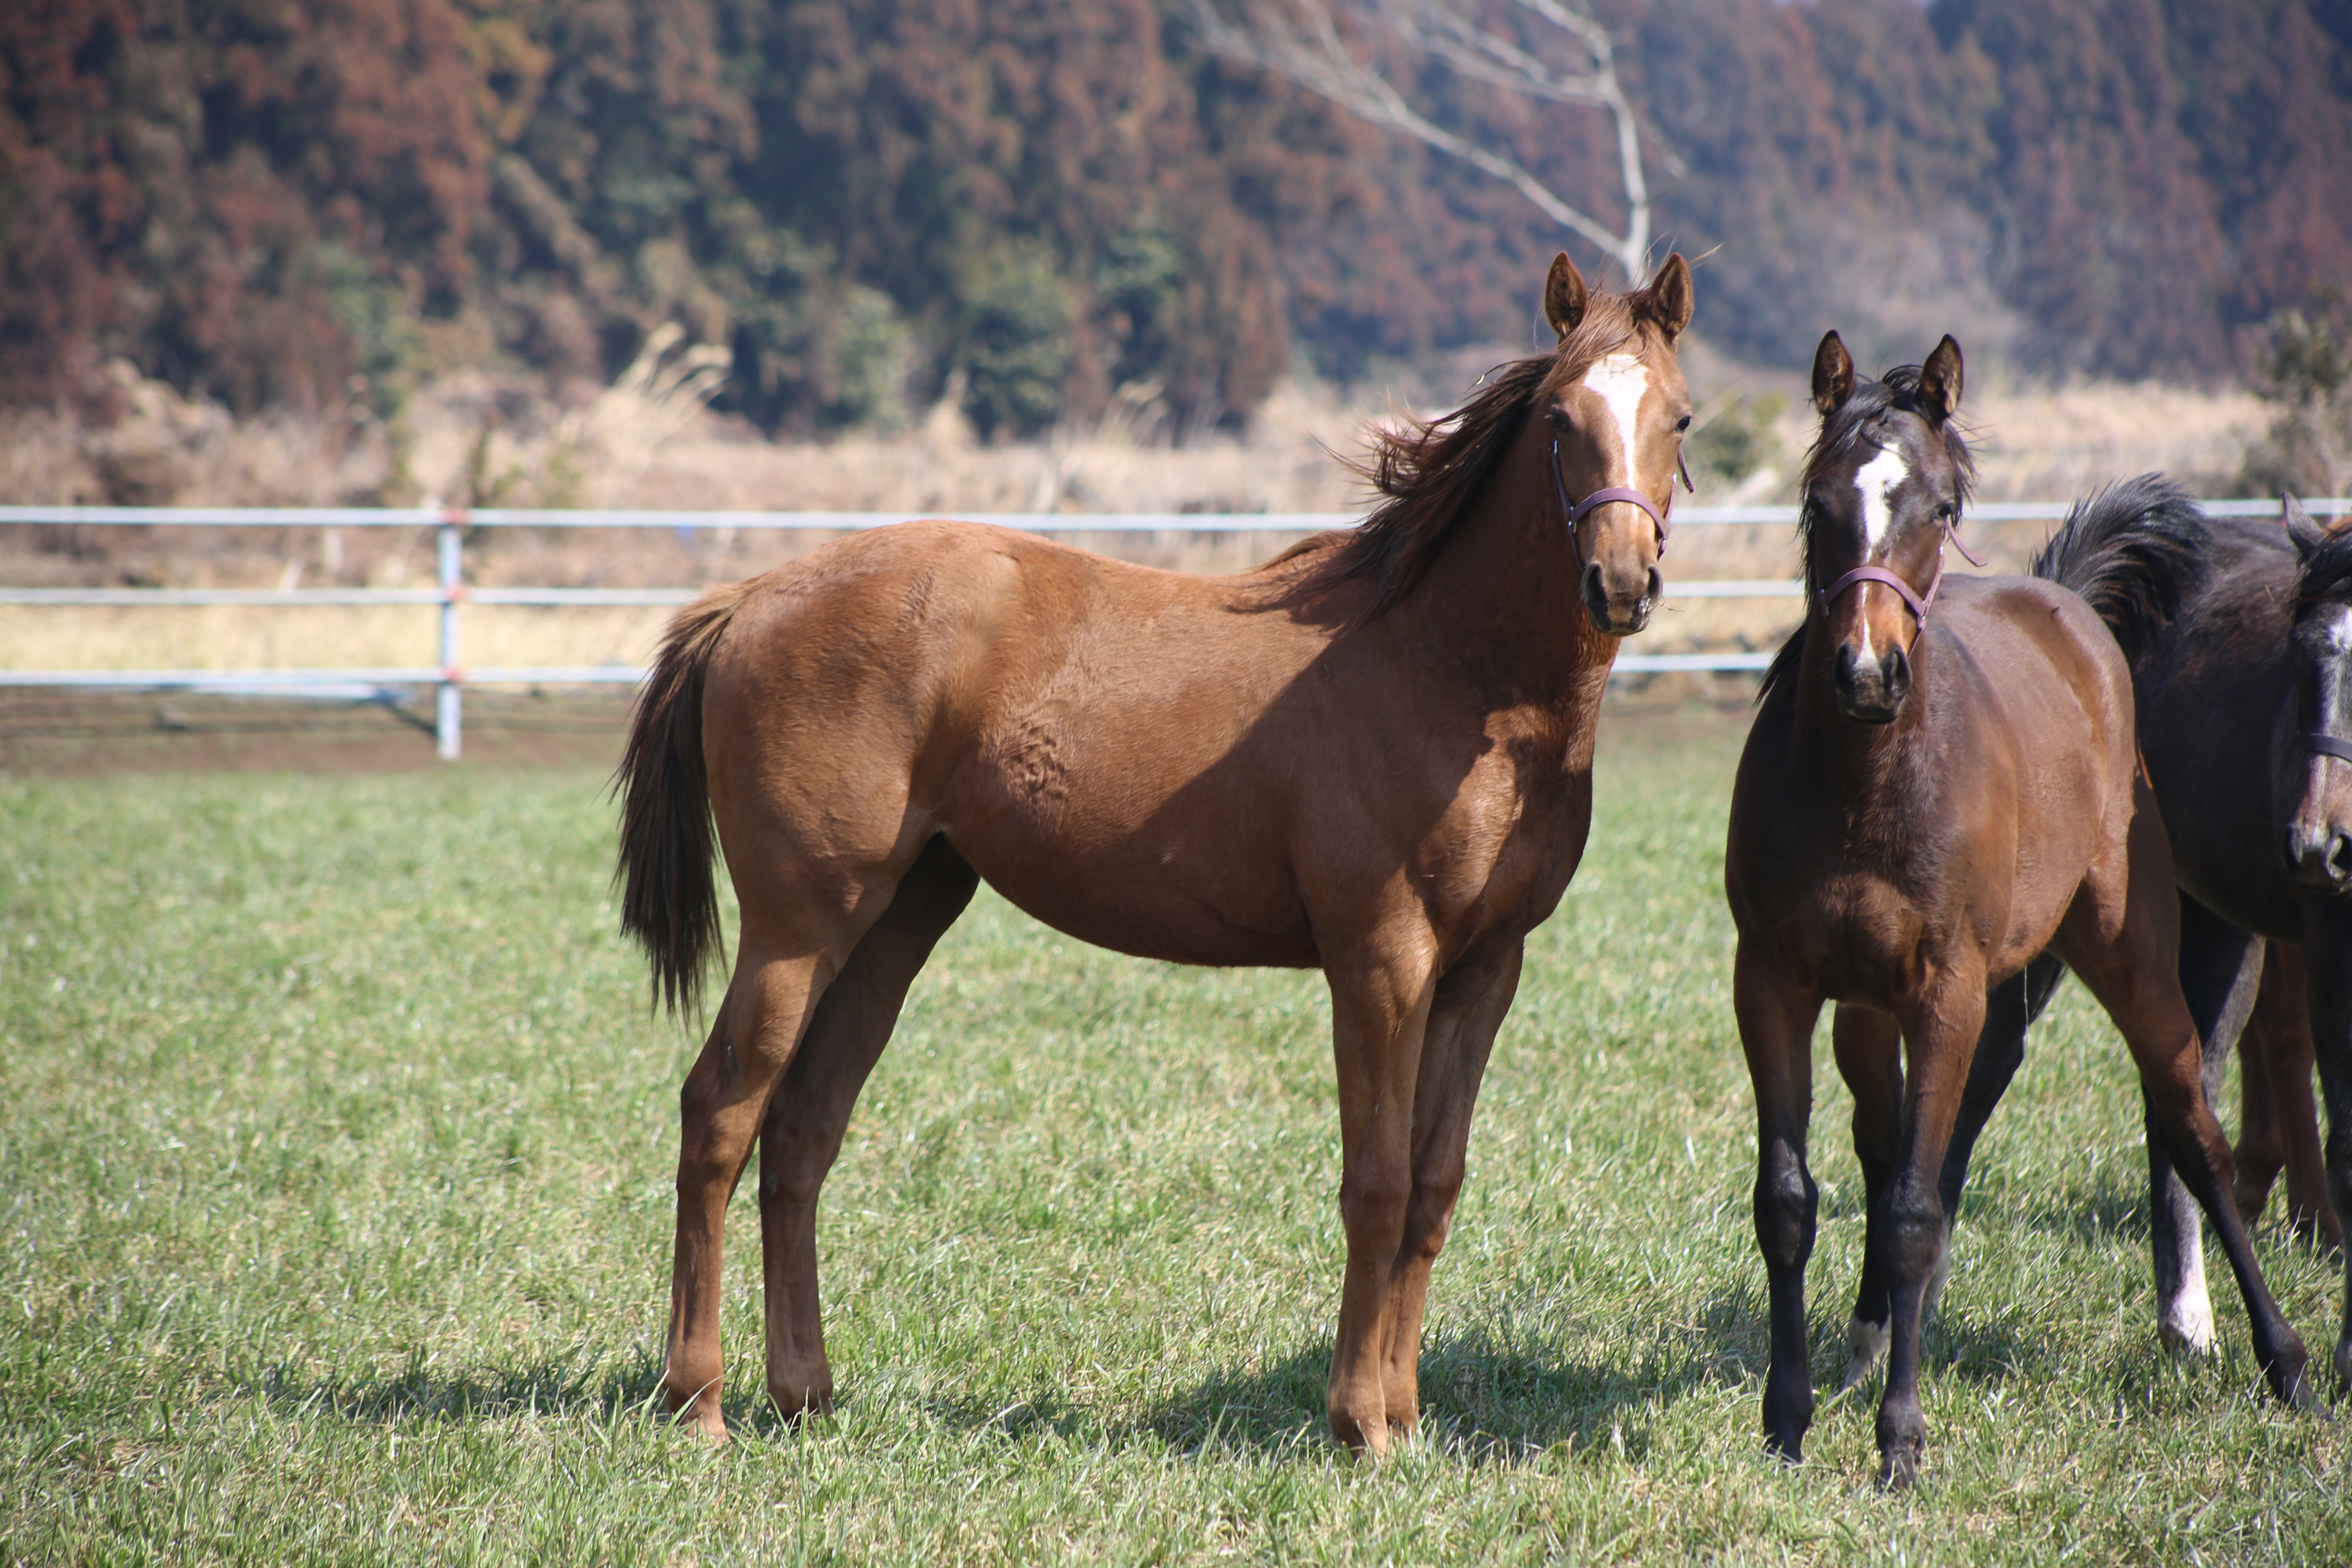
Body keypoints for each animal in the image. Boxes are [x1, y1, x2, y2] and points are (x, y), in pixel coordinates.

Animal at [616, 255, 1703, 1448]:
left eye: (1677, 416)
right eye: (1559, 418)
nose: (1621, 583)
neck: (1454, 674)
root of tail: (748, 600)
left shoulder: (1482, 970)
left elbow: (1432, 1188)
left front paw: (1405, 1418)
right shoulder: (1380, 960)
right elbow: (1373, 1185)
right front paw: (1358, 1424)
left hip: (896, 920)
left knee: (803, 1130)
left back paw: (803, 1393)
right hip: (797, 929)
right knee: (720, 1116)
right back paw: (698, 1401)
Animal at [1722, 331, 2305, 1486]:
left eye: (1940, 506)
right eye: (1816, 502)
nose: (1865, 674)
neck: (1863, 785)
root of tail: (2064, 603)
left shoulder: (1943, 991)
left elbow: (1911, 1209)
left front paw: (1900, 1442)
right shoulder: (1771, 982)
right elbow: (1792, 1200)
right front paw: (1786, 1418)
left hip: (2129, 957)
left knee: (2191, 1129)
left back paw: (2278, 1356)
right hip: (1888, 1010)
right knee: (1891, 1136)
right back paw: (1863, 1341)